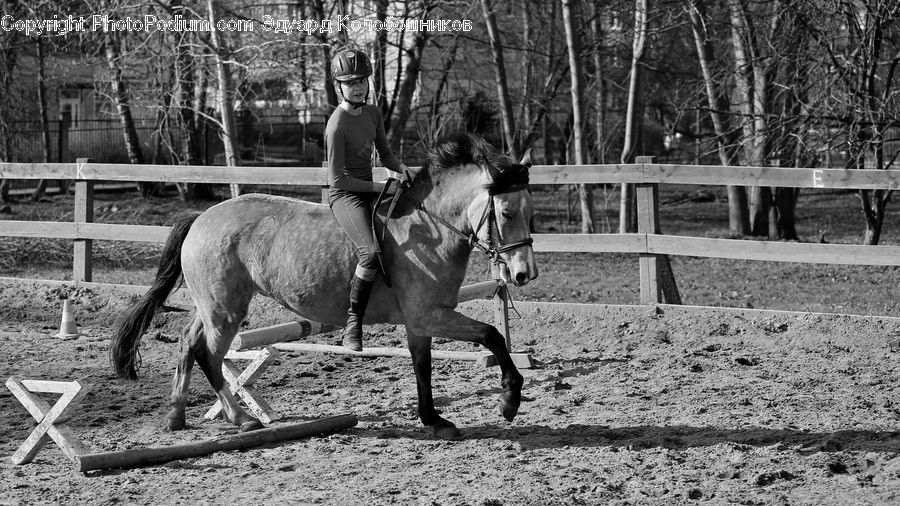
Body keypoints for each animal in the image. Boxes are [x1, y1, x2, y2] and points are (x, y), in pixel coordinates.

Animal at [110, 133, 538, 440]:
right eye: (506, 212)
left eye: (528, 210)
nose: (524, 274)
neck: (429, 226)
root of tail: (201, 218)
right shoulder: (431, 315)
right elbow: (492, 334)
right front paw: (509, 399)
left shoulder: (420, 322)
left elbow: (423, 367)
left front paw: (433, 419)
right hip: (225, 310)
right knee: (208, 353)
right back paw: (240, 418)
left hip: (213, 307)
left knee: (188, 341)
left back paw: (177, 416)